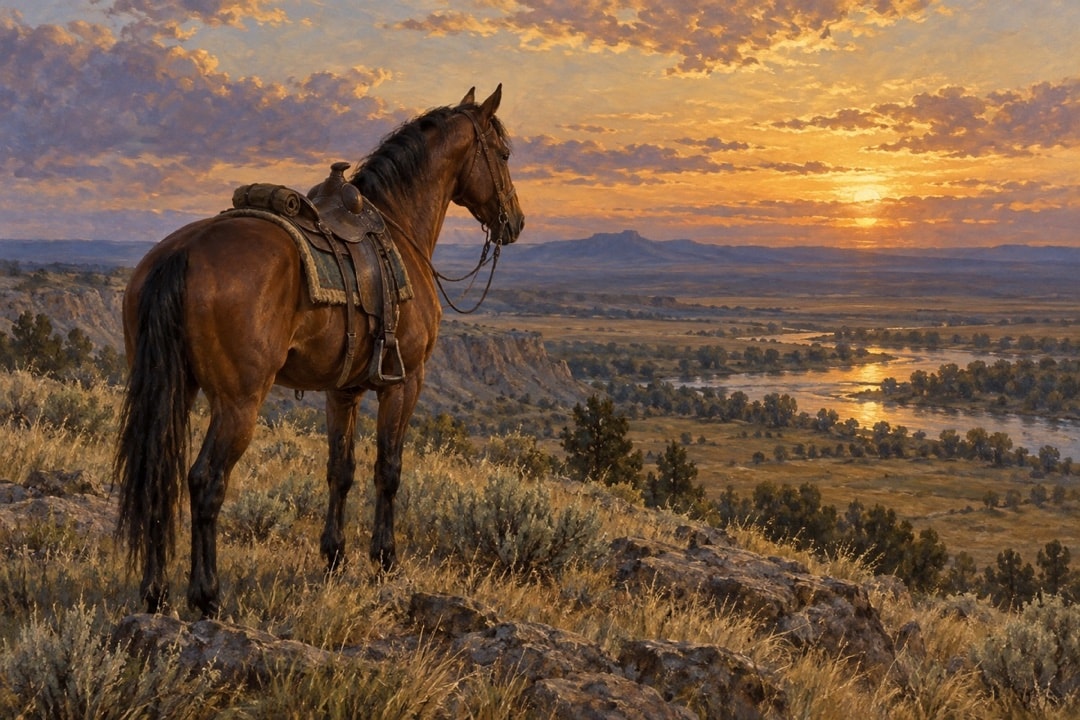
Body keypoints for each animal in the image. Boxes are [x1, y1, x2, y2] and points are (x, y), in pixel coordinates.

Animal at [114, 85, 524, 617]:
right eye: (504, 153)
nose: (515, 221)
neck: (398, 225)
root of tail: (180, 253)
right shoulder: (405, 382)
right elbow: (388, 469)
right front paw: (384, 560)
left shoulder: (342, 391)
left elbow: (340, 470)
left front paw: (334, 557)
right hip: (238, 402)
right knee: (206, 481)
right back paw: (207, 596)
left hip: (173, 390)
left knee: (159, 476)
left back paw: (155, 593)